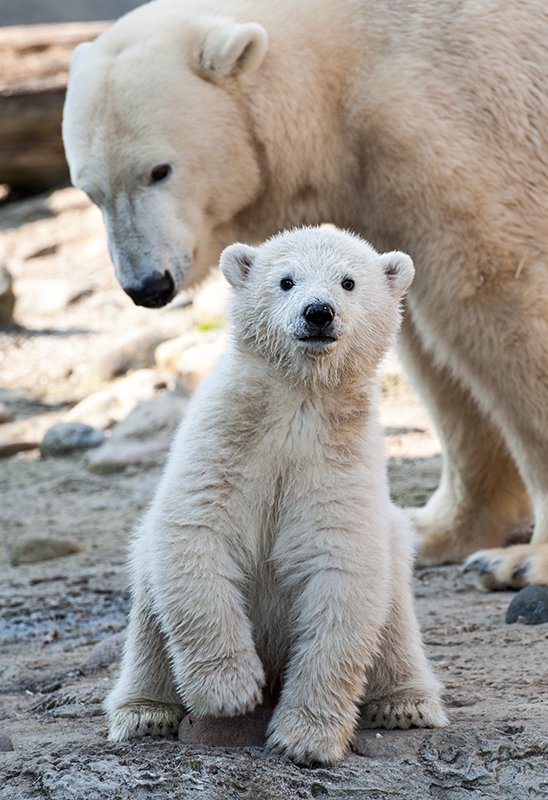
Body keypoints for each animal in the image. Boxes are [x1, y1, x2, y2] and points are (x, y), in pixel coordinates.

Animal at [62, 0, 548, 588]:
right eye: (91, 190)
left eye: (159, 170)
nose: (147, 285)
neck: (343, 72)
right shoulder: (376, 189)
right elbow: (427, 342)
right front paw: (433, 530)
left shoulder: (451, 124)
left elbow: (492, 295)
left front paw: (523, 561)